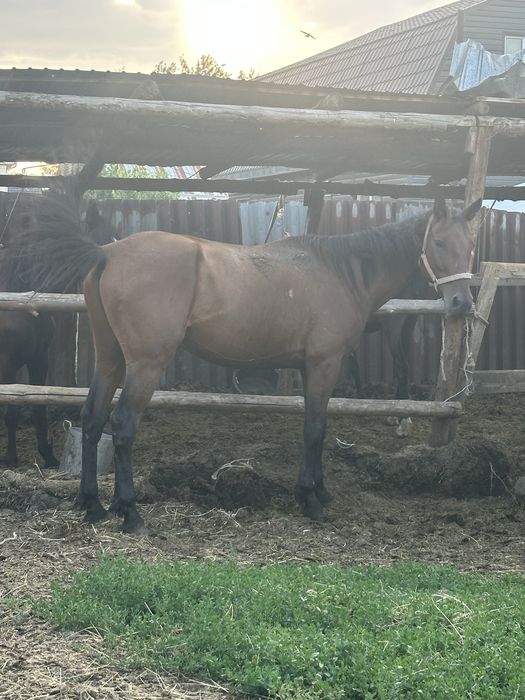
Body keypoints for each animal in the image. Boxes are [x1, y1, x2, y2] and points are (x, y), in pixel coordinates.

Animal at [0, 192, 118, 468]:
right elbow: (11, 409)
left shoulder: (38, 359)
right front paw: (10, 458)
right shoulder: (8, 362)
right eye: (106, 240)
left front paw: (48, 456)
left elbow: (38, 406)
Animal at [27, 195, 480, 532]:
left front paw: (318, 490)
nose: (461, 303)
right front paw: (310, 499)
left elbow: (317, 427)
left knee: (92, 418)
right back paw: (131, 513)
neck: (339, 272)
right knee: (121, 425)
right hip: (144, 365)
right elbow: (315, 429)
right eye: (439, 243)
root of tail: (107, 252)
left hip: (110, 360)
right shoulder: (324, 365)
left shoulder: (311, 367)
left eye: (470, 246)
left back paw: (92, 505)